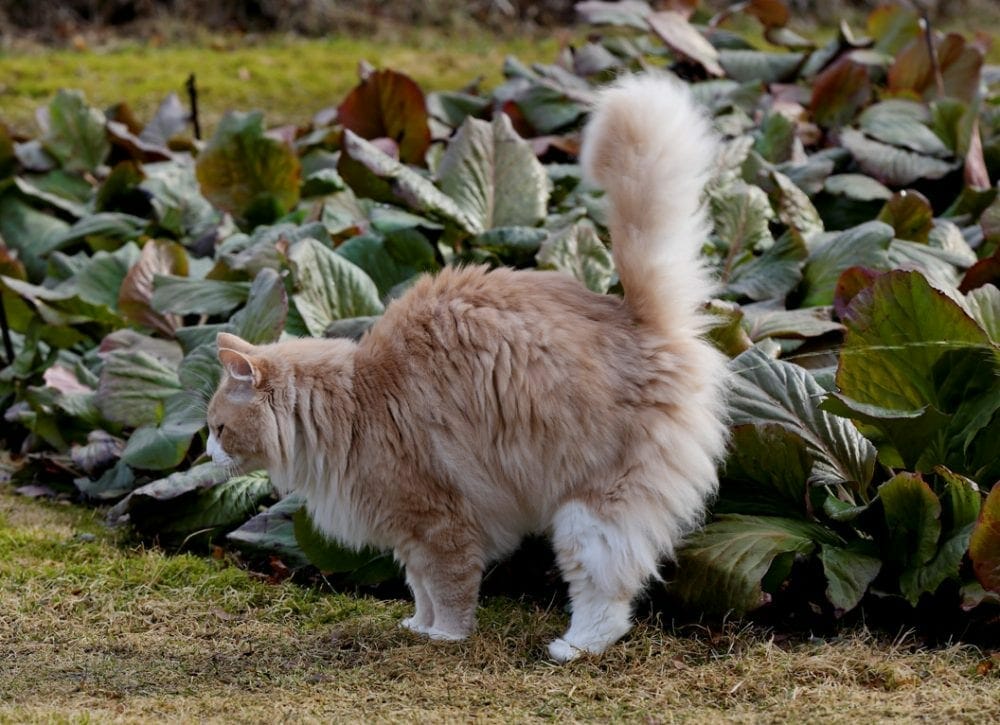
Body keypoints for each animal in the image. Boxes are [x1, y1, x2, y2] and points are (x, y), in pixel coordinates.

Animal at [207, 75, 732, 660]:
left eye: (218, 428)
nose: (205, 451)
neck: (351, 403)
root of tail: (638, 317)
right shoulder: (409, 536)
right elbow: (419, 589)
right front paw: (418, 626)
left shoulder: (440, 522)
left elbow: (450, 589)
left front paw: (446, 636)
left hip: (590, 511)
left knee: (606, 595)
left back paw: (573, 647)